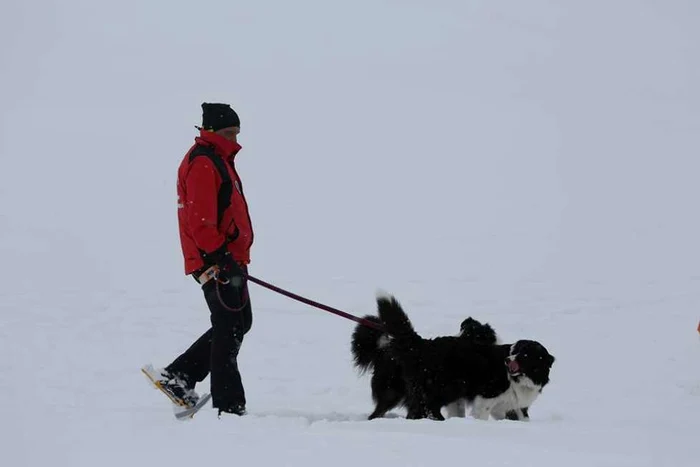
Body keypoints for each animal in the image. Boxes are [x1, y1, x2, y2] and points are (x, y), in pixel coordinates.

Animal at [352, 296, 556, 424]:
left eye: (525, 354)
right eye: (518, 351)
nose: (507, 360)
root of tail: (421, 344)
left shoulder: (511, 406)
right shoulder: (485, 399)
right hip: (439, 389)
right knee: (423, 410)